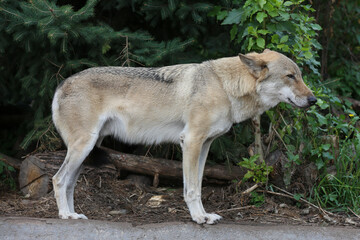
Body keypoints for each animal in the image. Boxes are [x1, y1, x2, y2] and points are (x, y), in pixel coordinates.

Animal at [52, 49, 316, 225]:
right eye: (291, 76)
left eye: (300, 76)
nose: (314, 100)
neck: (224, 87)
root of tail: (61, 84)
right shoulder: (190, 141)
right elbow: (191, 189)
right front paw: (198, 218)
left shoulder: (205, 145)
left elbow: (197, 185)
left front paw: (205, 215)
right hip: (83, 147)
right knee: (58, 179)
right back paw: (65, 215)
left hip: (87, 151)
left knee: (70, 183)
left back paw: (75, 214)